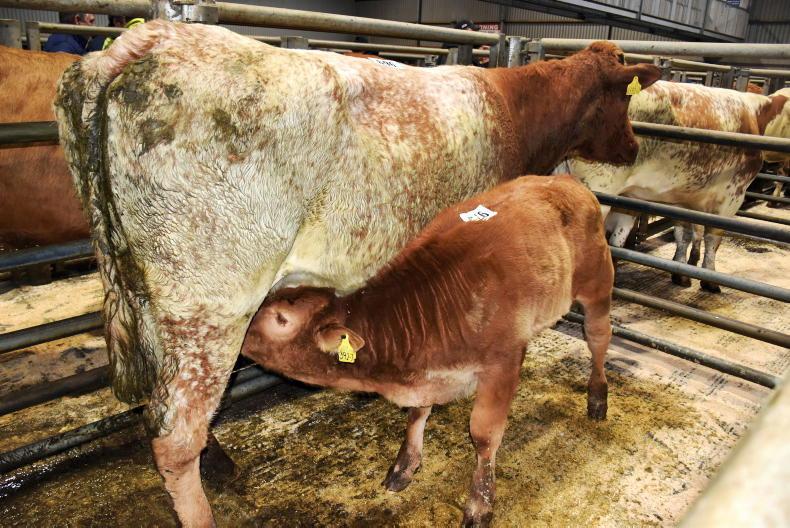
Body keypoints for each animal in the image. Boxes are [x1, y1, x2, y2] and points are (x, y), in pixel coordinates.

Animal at [242, 174, 613, 527]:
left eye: (281, 319)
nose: (239, 333)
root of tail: (564, 181)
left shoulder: (501, 362)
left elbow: (484, 436)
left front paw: (480, 503)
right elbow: (416, 416)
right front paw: (404, 467)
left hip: (598, 285)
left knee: (599, 339)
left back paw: (597, 397)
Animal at [570, 81, 789, 292]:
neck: (754, 114)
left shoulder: (682, 200)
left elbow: (683, 234)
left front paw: (681, 272)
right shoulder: (731, 197)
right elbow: (713, 239)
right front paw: (710, 280)